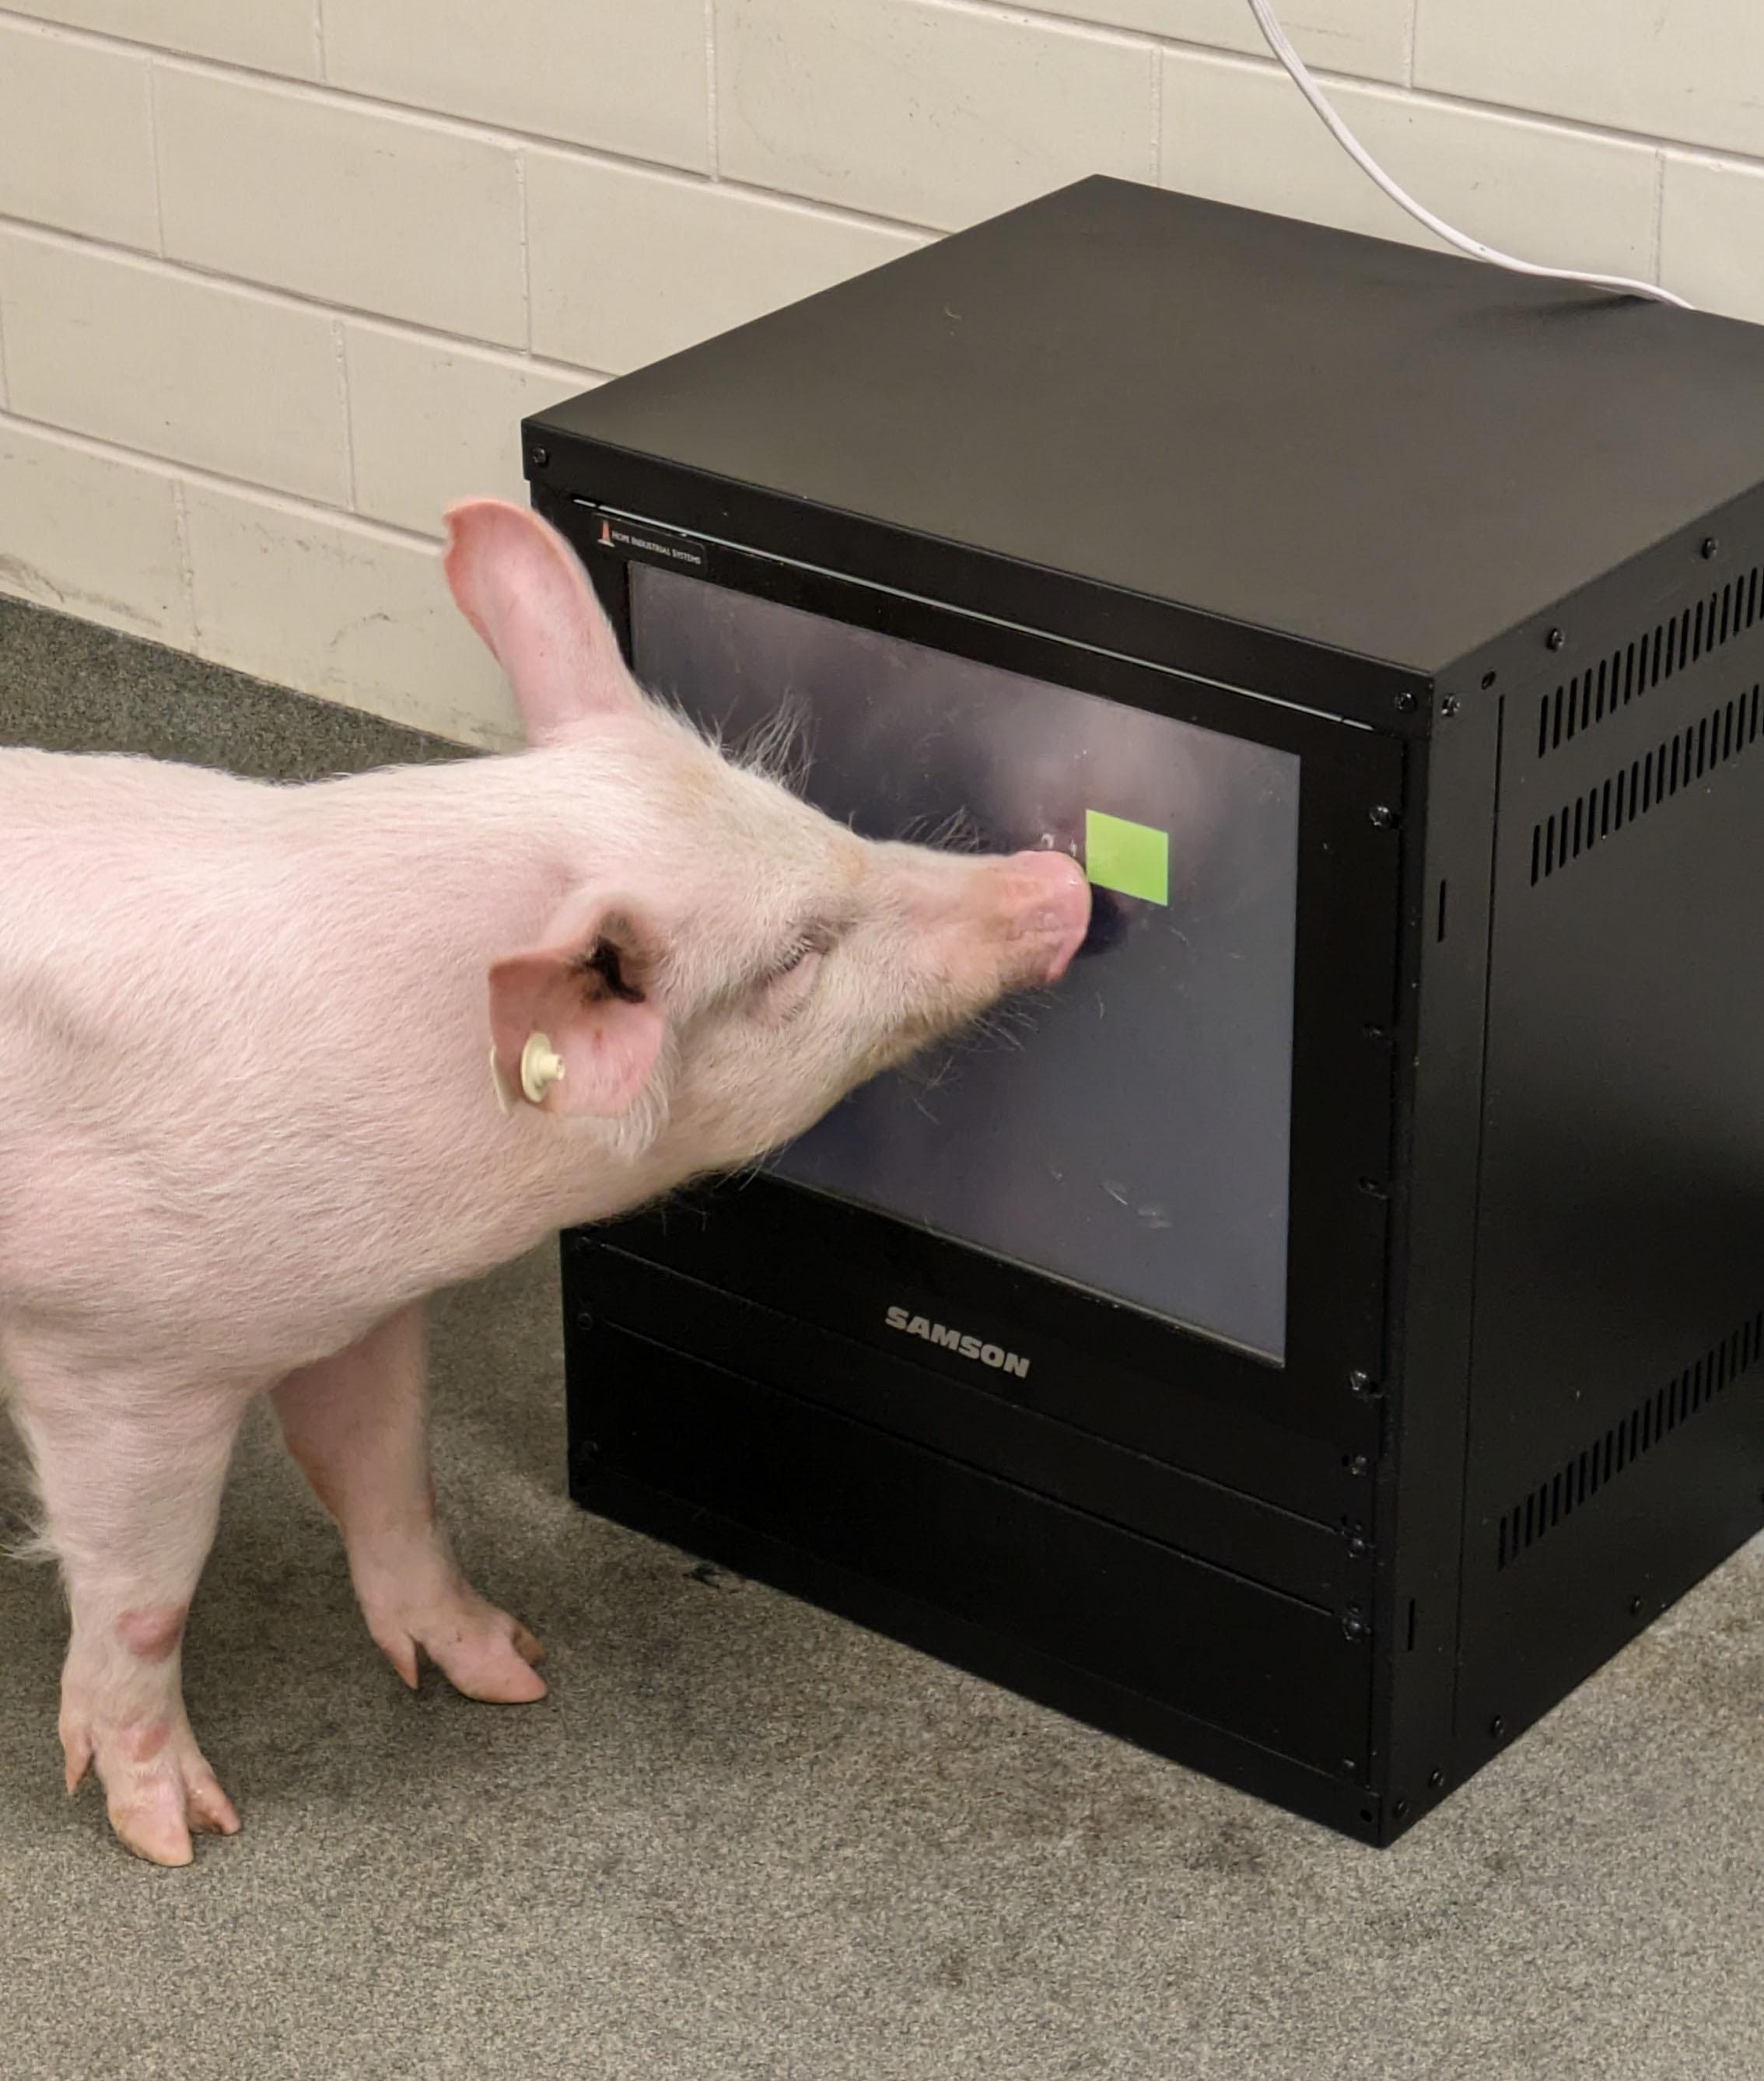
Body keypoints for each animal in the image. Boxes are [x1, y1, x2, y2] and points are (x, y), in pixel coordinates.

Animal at [0, 499, 1090, 1866]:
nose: (1064, 885)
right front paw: (182, 1834)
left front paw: (511, 1672)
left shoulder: (353, 1302)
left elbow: (388, 1472)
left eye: (806, 815)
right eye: (795, 957)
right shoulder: (113, 1356)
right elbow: (142, 1592)